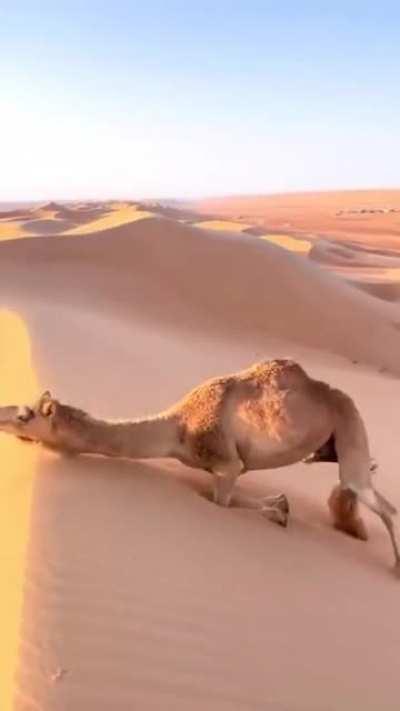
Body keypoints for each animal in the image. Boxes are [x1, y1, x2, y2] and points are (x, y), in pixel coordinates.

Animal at [0, 358, 398, 575]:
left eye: (24, 415)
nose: (1, 417)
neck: (177, 429)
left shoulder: (227, 462)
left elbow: (224, 502)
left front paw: (278, 509)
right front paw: (279, 506)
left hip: (349, 426)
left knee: (378, 502)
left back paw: (394, 567)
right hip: (332, 445)